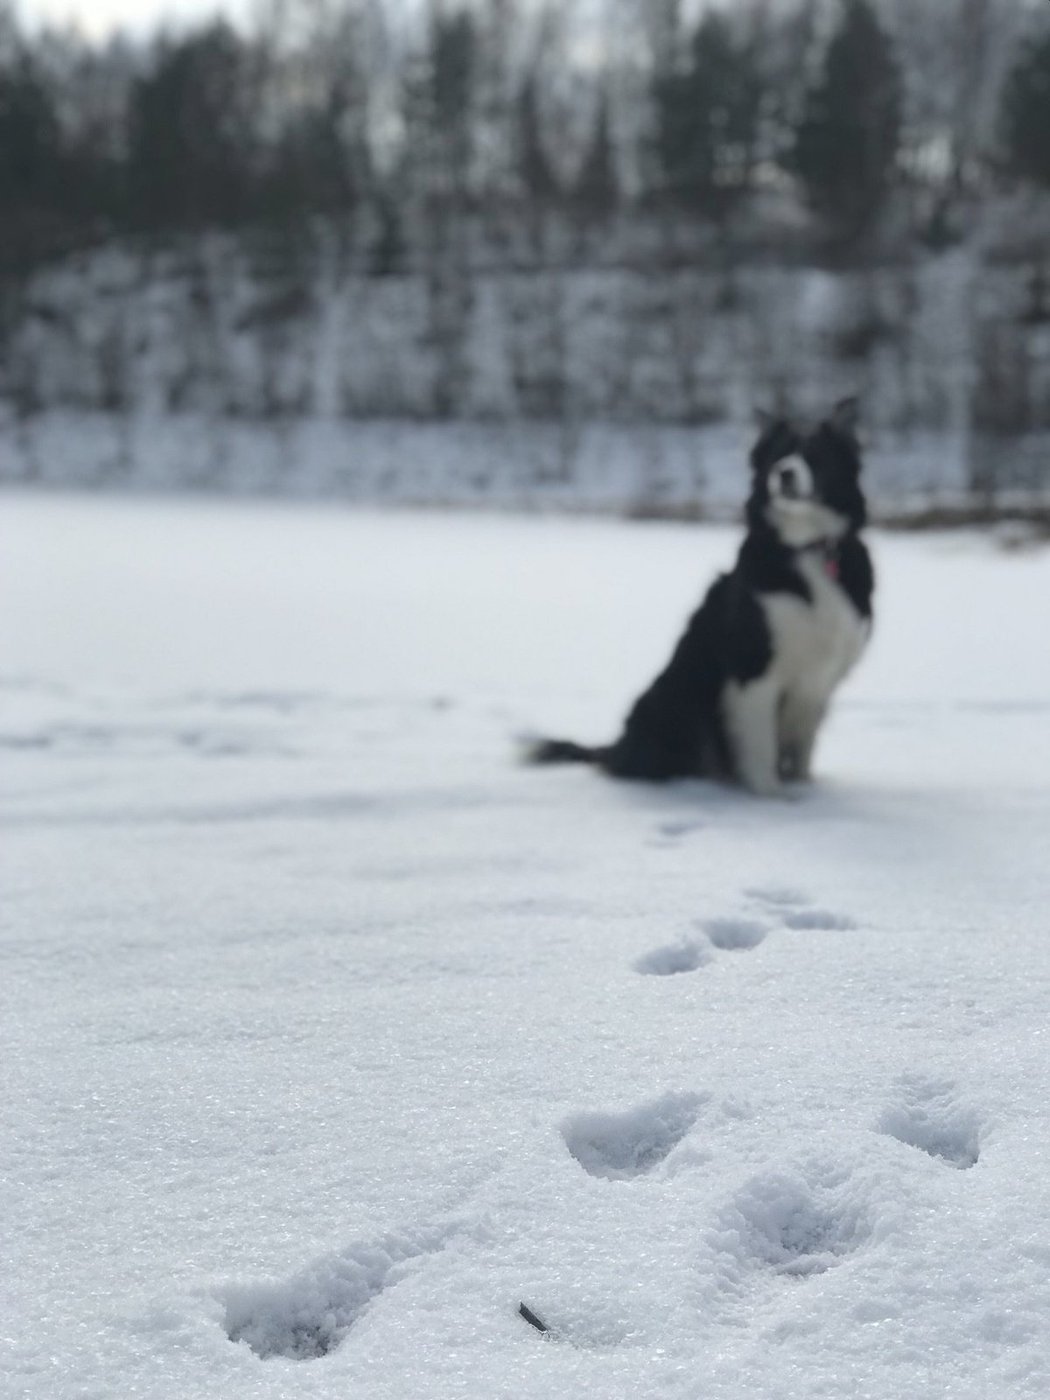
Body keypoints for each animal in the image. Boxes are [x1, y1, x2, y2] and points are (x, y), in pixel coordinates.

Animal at [529, 403, 873, 800]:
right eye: (777, 454)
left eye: (815, 454)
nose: (783, 473)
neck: (809, 547)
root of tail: (615, 746)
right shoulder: (753, 668)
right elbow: (761, 744)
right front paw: (771, 795)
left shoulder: (819, 681)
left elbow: (803, 746)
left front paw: (806, 788)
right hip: (675, 703)